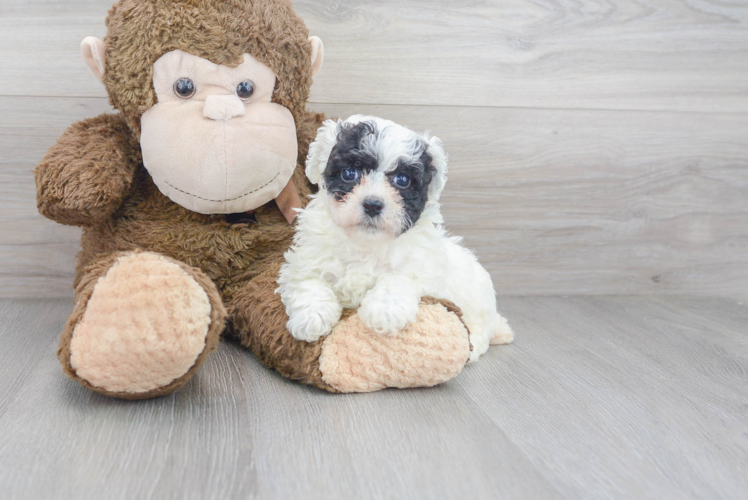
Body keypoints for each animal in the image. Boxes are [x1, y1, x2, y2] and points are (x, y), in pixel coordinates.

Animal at [276, 115, 516, 362]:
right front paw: (312, 317)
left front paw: (385, 310)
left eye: (402, 179)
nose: (373, 204)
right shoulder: (304, 262)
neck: (365, 245)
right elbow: (308, 282)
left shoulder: (422, 266)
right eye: (349, 174)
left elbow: (399, 278)